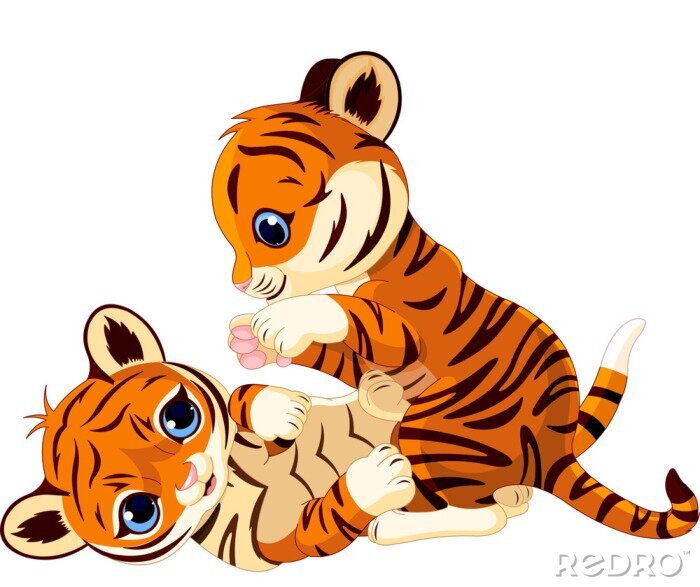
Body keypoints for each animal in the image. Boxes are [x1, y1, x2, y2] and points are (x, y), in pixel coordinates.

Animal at [212, 51, 698, 544]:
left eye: (271, 229)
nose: (239, 284)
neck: (365, 263)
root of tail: (554, 449)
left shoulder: (409, 326)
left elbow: (355, 314)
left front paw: (281, 322)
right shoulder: (362, 360)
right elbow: (339, 354)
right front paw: (249, 341)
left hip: (432, 431)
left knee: (488, 513)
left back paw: (391, 518)